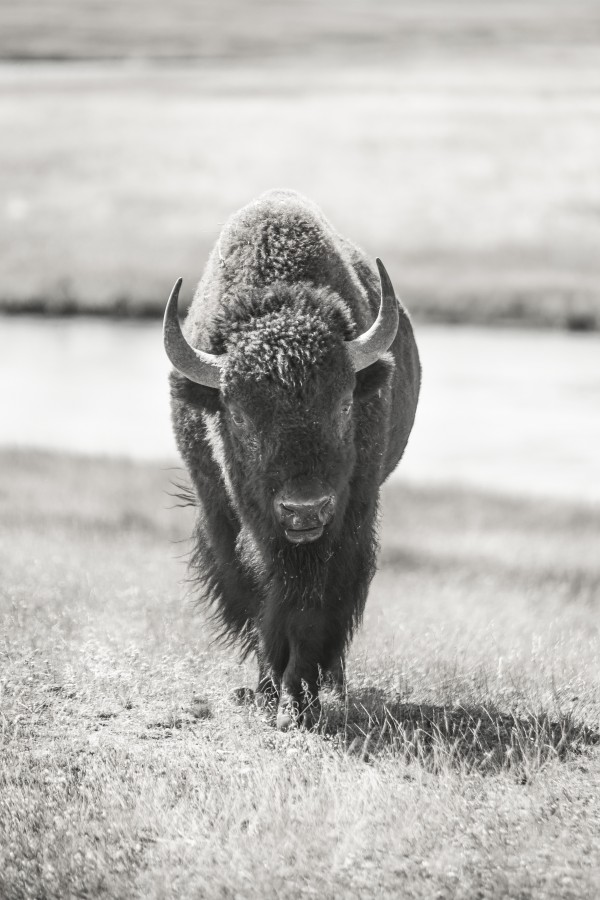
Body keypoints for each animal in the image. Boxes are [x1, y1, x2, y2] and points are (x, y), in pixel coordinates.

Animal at [164, 189, 420, 728]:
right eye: (238, 415)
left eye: (344, 404)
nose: (304, 509)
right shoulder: (228, 518)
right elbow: (258, 599)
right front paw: (267, 693)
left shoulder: (346, 522)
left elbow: (310, 606)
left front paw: (296, 703)